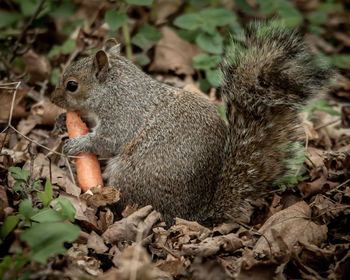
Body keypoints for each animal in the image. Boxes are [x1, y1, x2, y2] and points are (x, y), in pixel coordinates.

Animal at [50, 23, 332, 226]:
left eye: (72, 85)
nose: (52, 100)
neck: (116, 89)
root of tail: (194, 214)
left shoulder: (123, 116)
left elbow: (106, 141)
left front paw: (76, 144)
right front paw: (63, 122)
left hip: (131, 177)